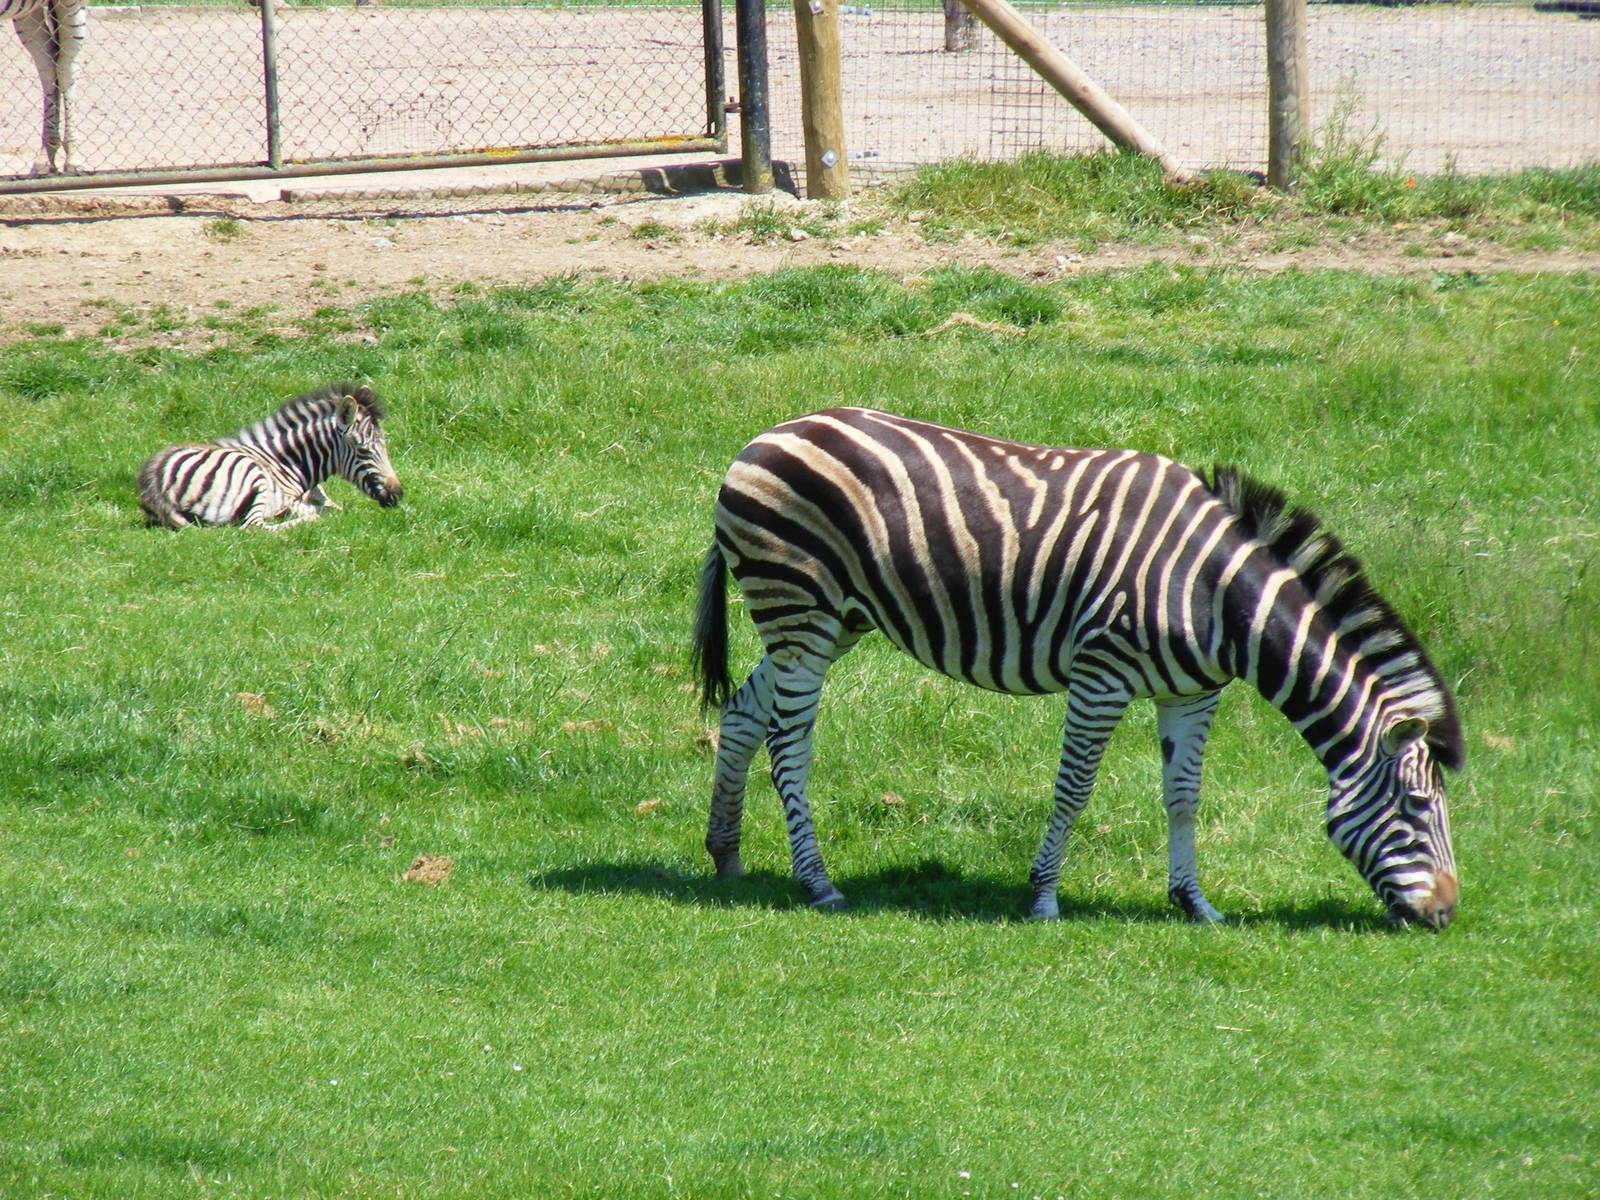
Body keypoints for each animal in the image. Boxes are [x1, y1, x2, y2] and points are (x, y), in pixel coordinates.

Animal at [5, 0, 86, 175]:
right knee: (47, 61)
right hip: (29, 10)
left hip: (71, 4)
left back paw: (73, 161)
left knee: (65, 65)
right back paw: (45, 160)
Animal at [138, 382, 402, 530]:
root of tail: (156, 483)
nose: (398, 494)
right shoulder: (290, 498)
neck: (288, 462)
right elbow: (329, 510)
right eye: (364, 450)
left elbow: (332, 504)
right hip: (251, 474)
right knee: (254, 527)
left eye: (385, 446)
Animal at [692, 407, 1464, 928]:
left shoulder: (1193, 692)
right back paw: (817, 882)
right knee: (789, 742)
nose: (1446, 915)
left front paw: (1194, 902)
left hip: (829, 621)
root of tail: (763, 437)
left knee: (743, 710)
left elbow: (1184, 794)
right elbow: (1074, 789)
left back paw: (726, 854)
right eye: (1417, 807)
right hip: (801, 608)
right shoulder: (1103, 673)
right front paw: (1042, 897)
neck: (1217, 593)